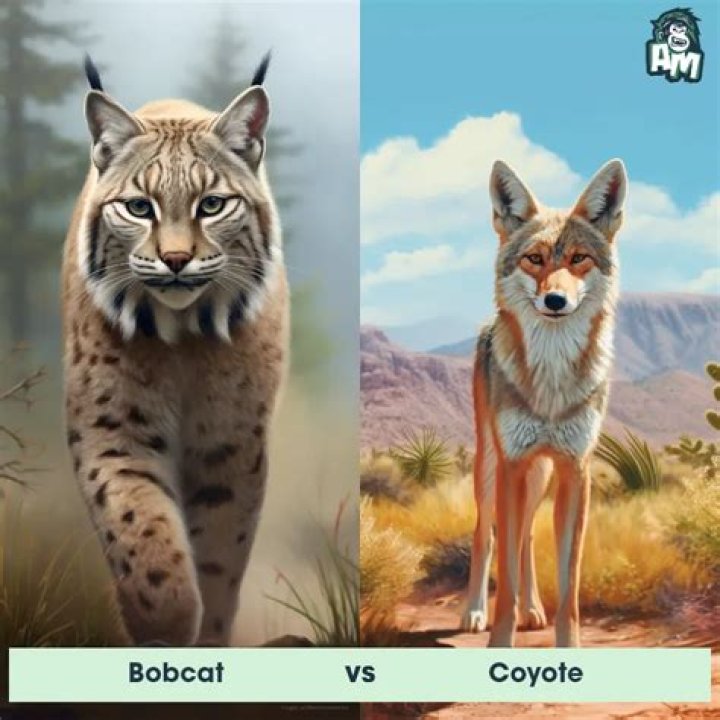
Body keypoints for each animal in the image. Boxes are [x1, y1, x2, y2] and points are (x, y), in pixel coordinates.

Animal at [461, 158, 628, 647]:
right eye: (534, 259)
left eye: (578, 259)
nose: (555, 299)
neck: (551, 387)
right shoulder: (513, 464)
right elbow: (504, 577)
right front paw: (499, 638)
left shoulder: (576, 469)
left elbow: (569, 587)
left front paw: (566, 644)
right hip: (491, 468)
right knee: (486, 535)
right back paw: (473, 611)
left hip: (540, 475)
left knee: (526, 538)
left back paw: (533, 609)